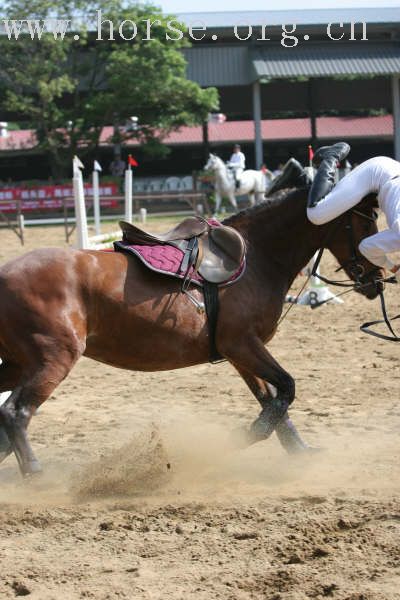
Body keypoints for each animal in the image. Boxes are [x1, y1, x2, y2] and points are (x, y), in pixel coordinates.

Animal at [0, 185, 382, 476]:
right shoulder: (243, 345)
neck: (256, 256)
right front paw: (246, 436)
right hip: (54, 359)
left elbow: (275, 402)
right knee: (16, 413)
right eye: (369, 221)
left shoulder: (240, 353)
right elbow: (285, 390)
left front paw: (300, 452)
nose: (378, 280)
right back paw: (36, 475)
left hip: (19, 364)